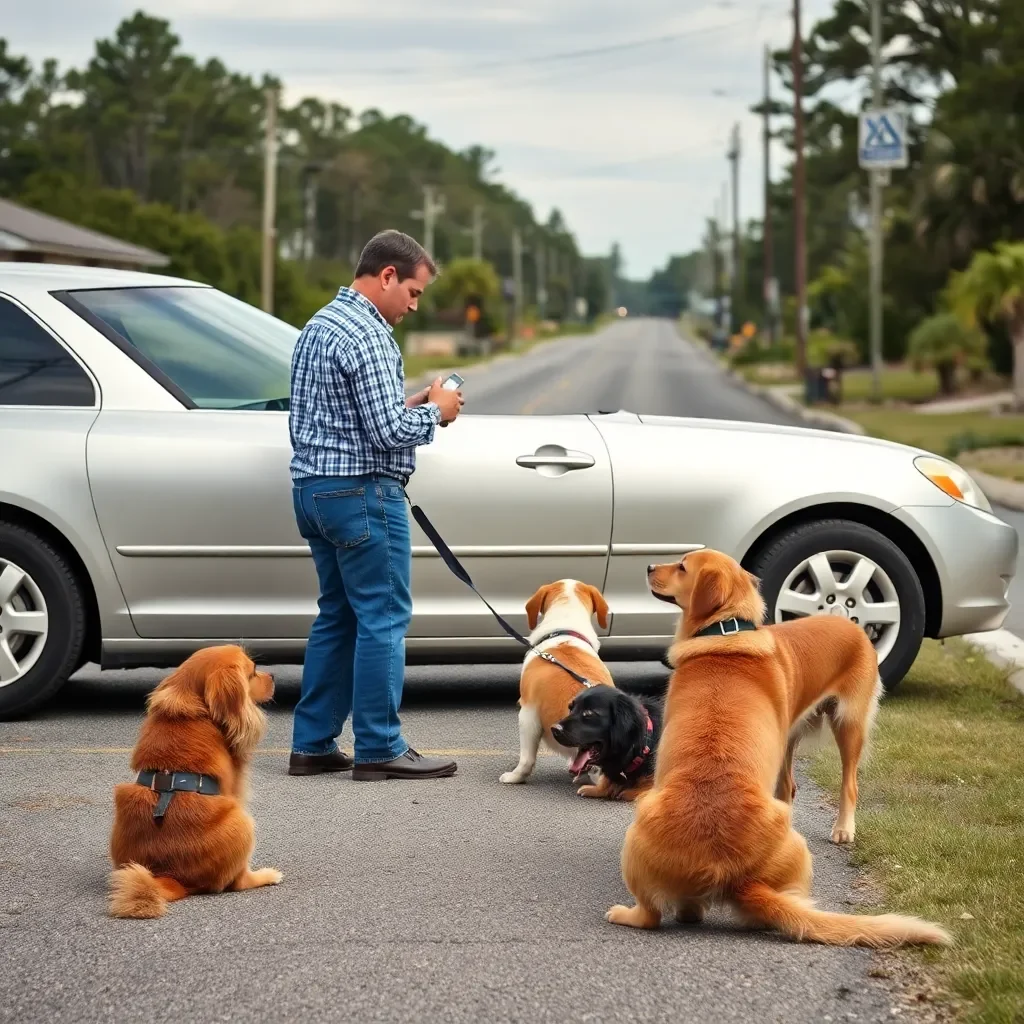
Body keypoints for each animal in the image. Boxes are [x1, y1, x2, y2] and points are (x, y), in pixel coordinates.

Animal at [107, 643, 280, 917]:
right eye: (252, 672)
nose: (273, 676)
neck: (198, 709)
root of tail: (172, 876)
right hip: (242, 822)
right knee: (238, 882)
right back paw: (266, 876)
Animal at [606, 557, 950, 946]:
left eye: (682, 566)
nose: (649, 565)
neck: (726, 634)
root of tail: (733, 876)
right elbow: (786, 783)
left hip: (849, 723)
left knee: (651, 915)